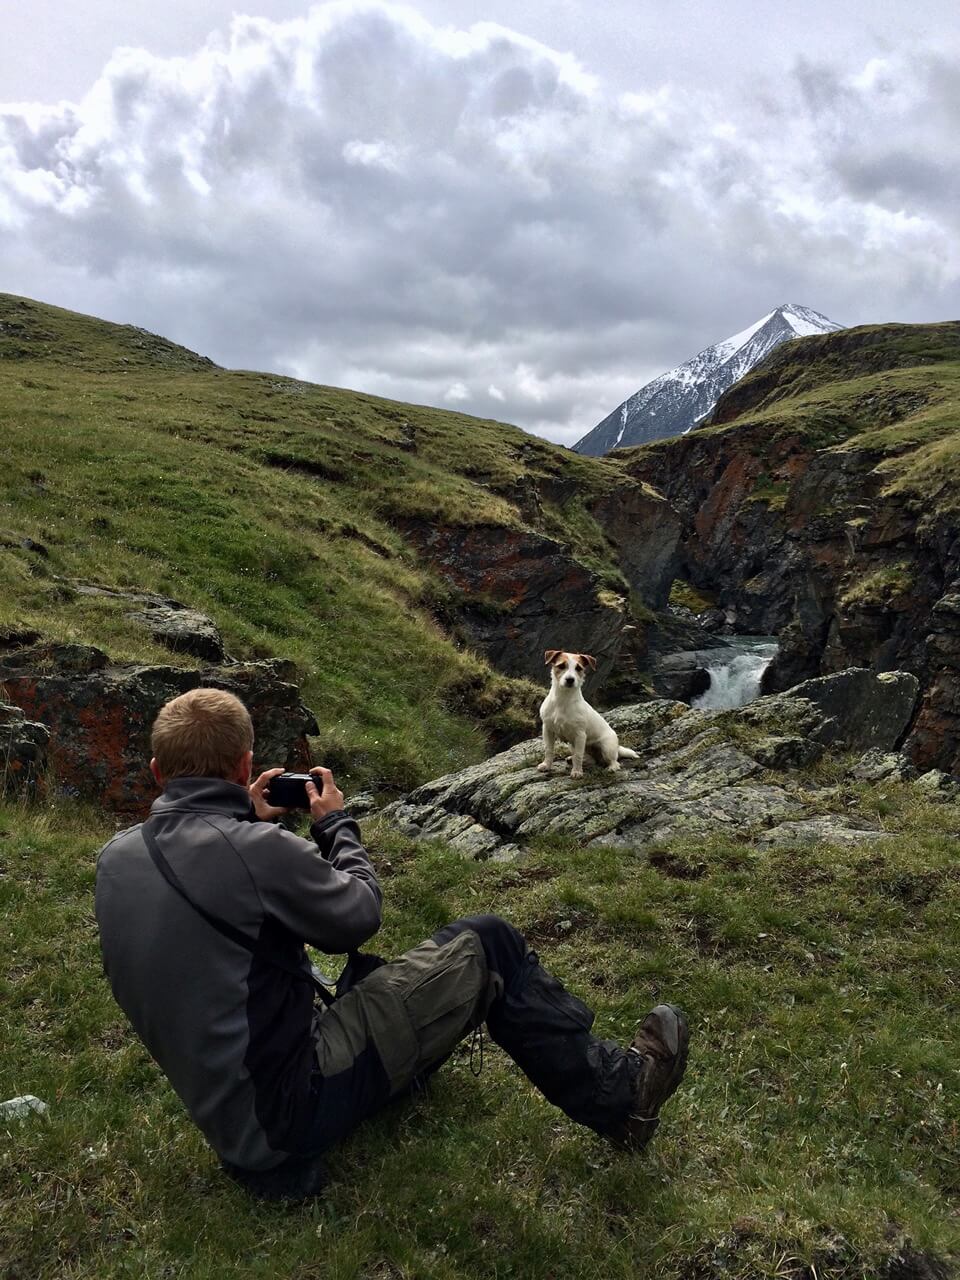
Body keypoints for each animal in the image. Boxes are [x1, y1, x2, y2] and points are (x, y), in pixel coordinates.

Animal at [537, 650, 642, 778]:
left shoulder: (580, 735)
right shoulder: (547, 730)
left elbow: (578, 755)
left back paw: (611, 768)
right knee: (588, 758)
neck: (563, 700)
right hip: (573, 745)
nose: (570, 680)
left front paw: (577, 772)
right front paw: (546, 765)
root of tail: (617, 748)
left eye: (578, 668)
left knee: (614, 761)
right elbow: (549, 750)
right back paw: (573, 759)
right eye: (561, 666)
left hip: (606, 747)